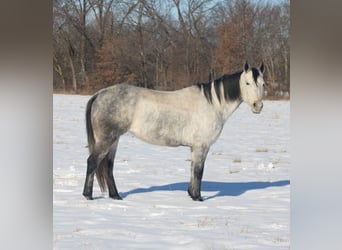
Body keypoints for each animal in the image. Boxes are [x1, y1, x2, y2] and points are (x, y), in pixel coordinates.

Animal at [83, 62, 268, 201]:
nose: (258, 106)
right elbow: (198, 172)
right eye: (247, 83)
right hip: (106, 139)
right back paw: (88, 196)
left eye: (262, 84)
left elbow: (193, 170)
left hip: (114, 140)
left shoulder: (195, 148)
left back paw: (116, 196)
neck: (212, 104)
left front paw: (192, 194)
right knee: (92, 162)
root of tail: (99, 94)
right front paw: (198, 198)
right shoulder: (202, 146)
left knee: (108, 166)